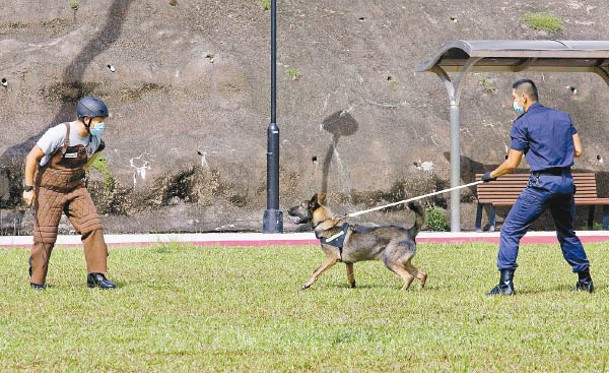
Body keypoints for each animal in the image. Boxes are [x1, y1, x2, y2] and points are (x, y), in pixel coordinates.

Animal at [288, 193, 426, 292]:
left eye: (300, 205)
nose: (288, 209)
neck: (324, 222)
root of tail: (409, 231)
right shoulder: (348, 263)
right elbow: (350, 277)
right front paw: (352, 287)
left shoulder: (332, 258)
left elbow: (316, 271)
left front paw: (306, 284)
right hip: (403, 262)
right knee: (422, 274)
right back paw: (419, 290)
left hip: (390, 261)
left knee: (409, 277)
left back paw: (402, 291)